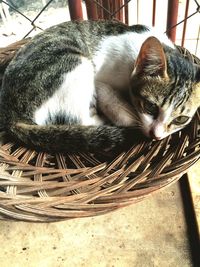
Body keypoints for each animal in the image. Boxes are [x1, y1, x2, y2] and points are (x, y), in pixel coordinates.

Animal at [0, 20, 199, 153]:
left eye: (181, 119)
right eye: (150, 106)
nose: (156, 135)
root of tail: (9, 115)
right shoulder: (100, 77)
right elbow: (111, 97)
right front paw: (126, 114)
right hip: (76, 64)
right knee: (80, 120)